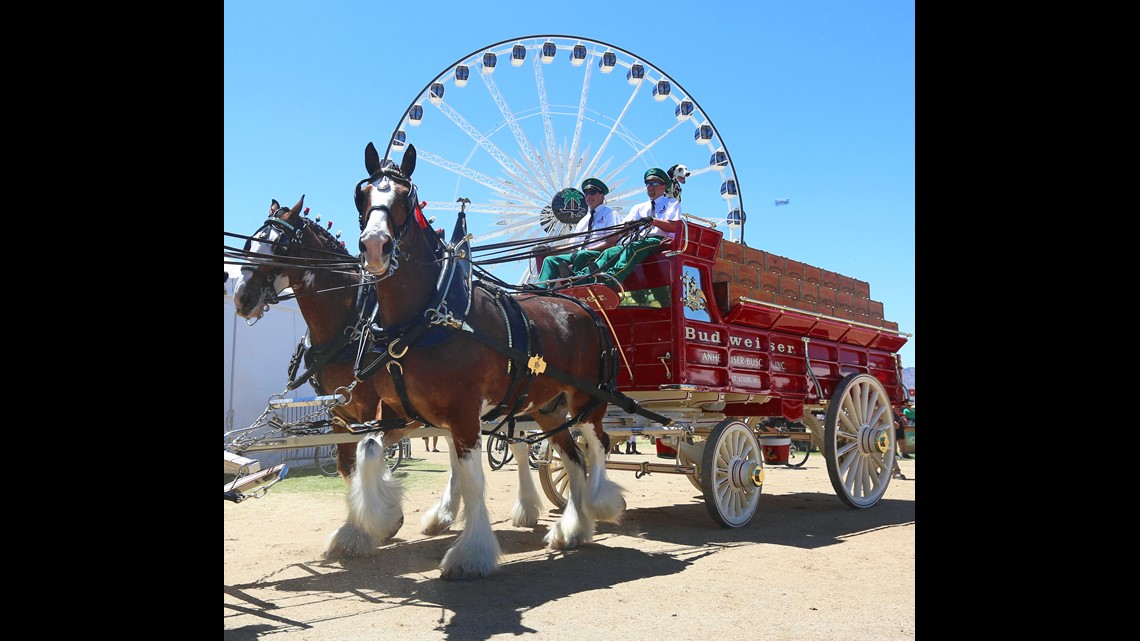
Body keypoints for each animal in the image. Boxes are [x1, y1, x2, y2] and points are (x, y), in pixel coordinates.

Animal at [355, 142, 624, 577]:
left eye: (406, 197)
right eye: (361, 194)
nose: (375, 246)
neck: (428, 316)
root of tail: (584, 306)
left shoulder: (464, 416)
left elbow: (472, 483)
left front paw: (472, 553)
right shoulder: (405, 414)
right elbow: (368, 449)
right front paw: (377, 520)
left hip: (587, 400)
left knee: (597, 444)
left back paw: (601, 504)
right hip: (549, 408)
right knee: (572, 458)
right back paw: (574, 529)